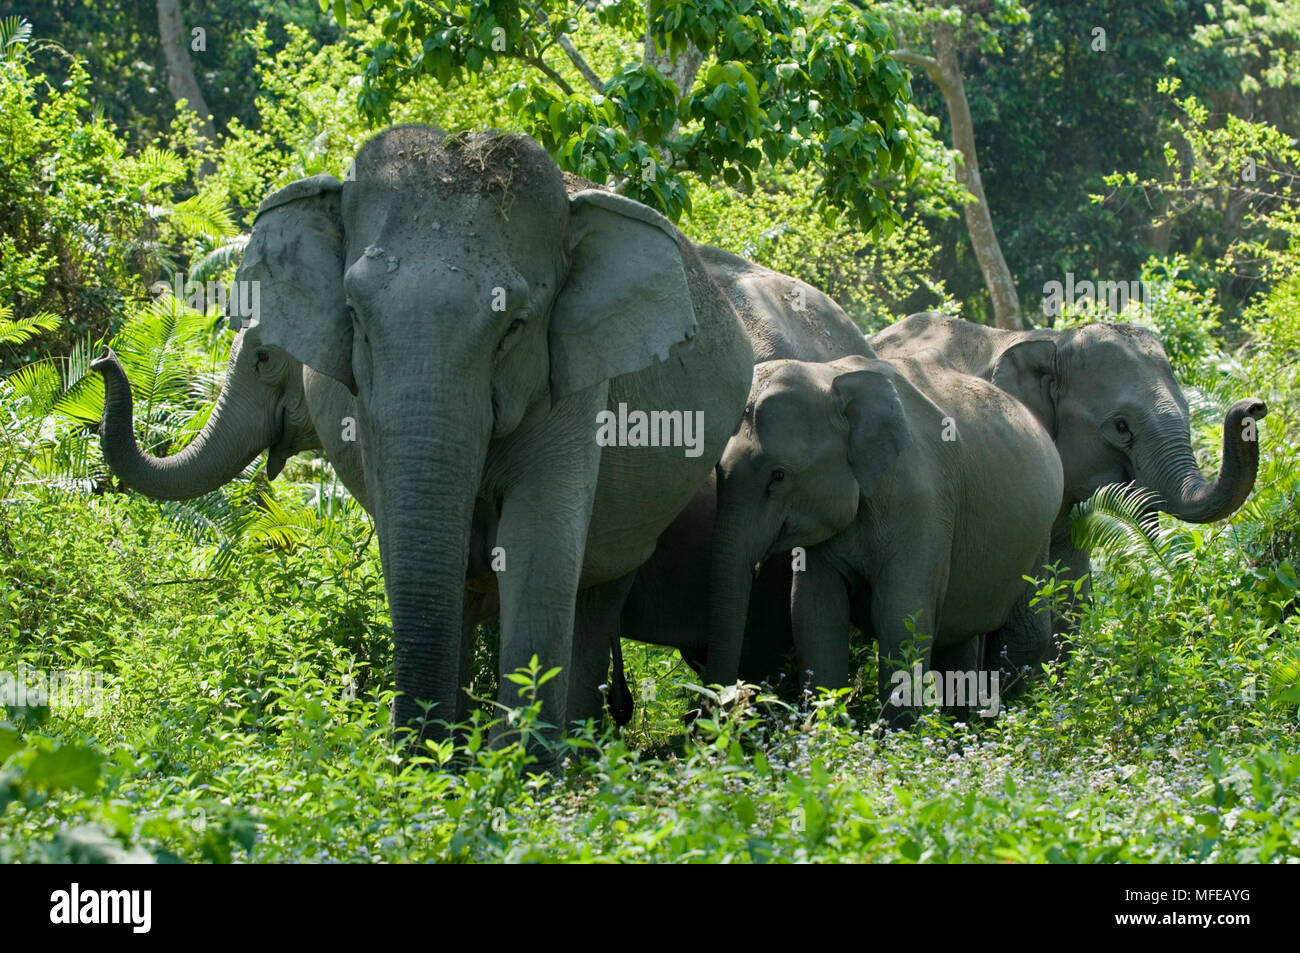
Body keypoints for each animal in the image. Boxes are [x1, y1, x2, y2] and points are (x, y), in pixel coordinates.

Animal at [96, 125, 759, 757]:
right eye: (354, 315)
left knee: (594, 596)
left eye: (514, 327)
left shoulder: (574, 383)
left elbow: (536, 546)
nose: (103, 360)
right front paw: (444, 769)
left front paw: (515, 775)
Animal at [706, 354, 1064, 724]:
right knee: (959, 639)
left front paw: (897, 734)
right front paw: (828, 729)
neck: (831, 378)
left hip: (1039, 533)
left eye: (778, 476)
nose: (731, 707)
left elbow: (901, 614)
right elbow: (813, 610)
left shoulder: (922, 503)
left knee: (1023, 635)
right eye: (717, 471)